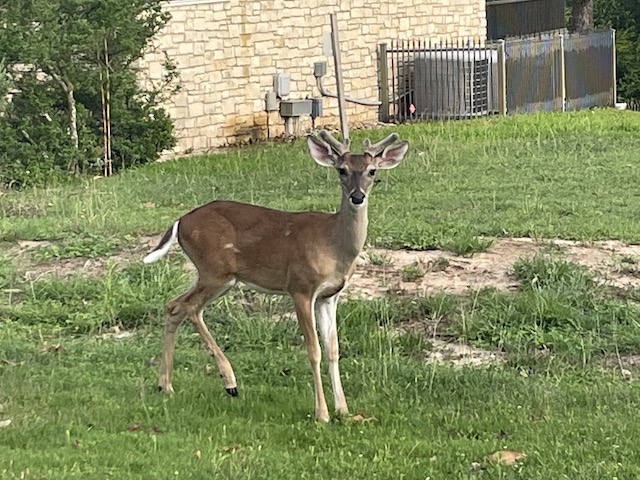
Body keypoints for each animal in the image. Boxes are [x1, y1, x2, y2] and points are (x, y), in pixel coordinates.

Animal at [143, 130, 409, 422]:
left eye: (372, 171)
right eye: (342, 170)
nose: (357, 196)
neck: (333, 246)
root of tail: (180, 222)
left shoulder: (329, 296)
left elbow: (333, 349)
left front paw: (343, 409)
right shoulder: (300, 287)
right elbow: (314, 350)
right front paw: (322, 413)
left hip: (214, 276)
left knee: (174, 305)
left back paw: (165, 385)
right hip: (215, 271)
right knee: (190, 307)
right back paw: (229, 381)